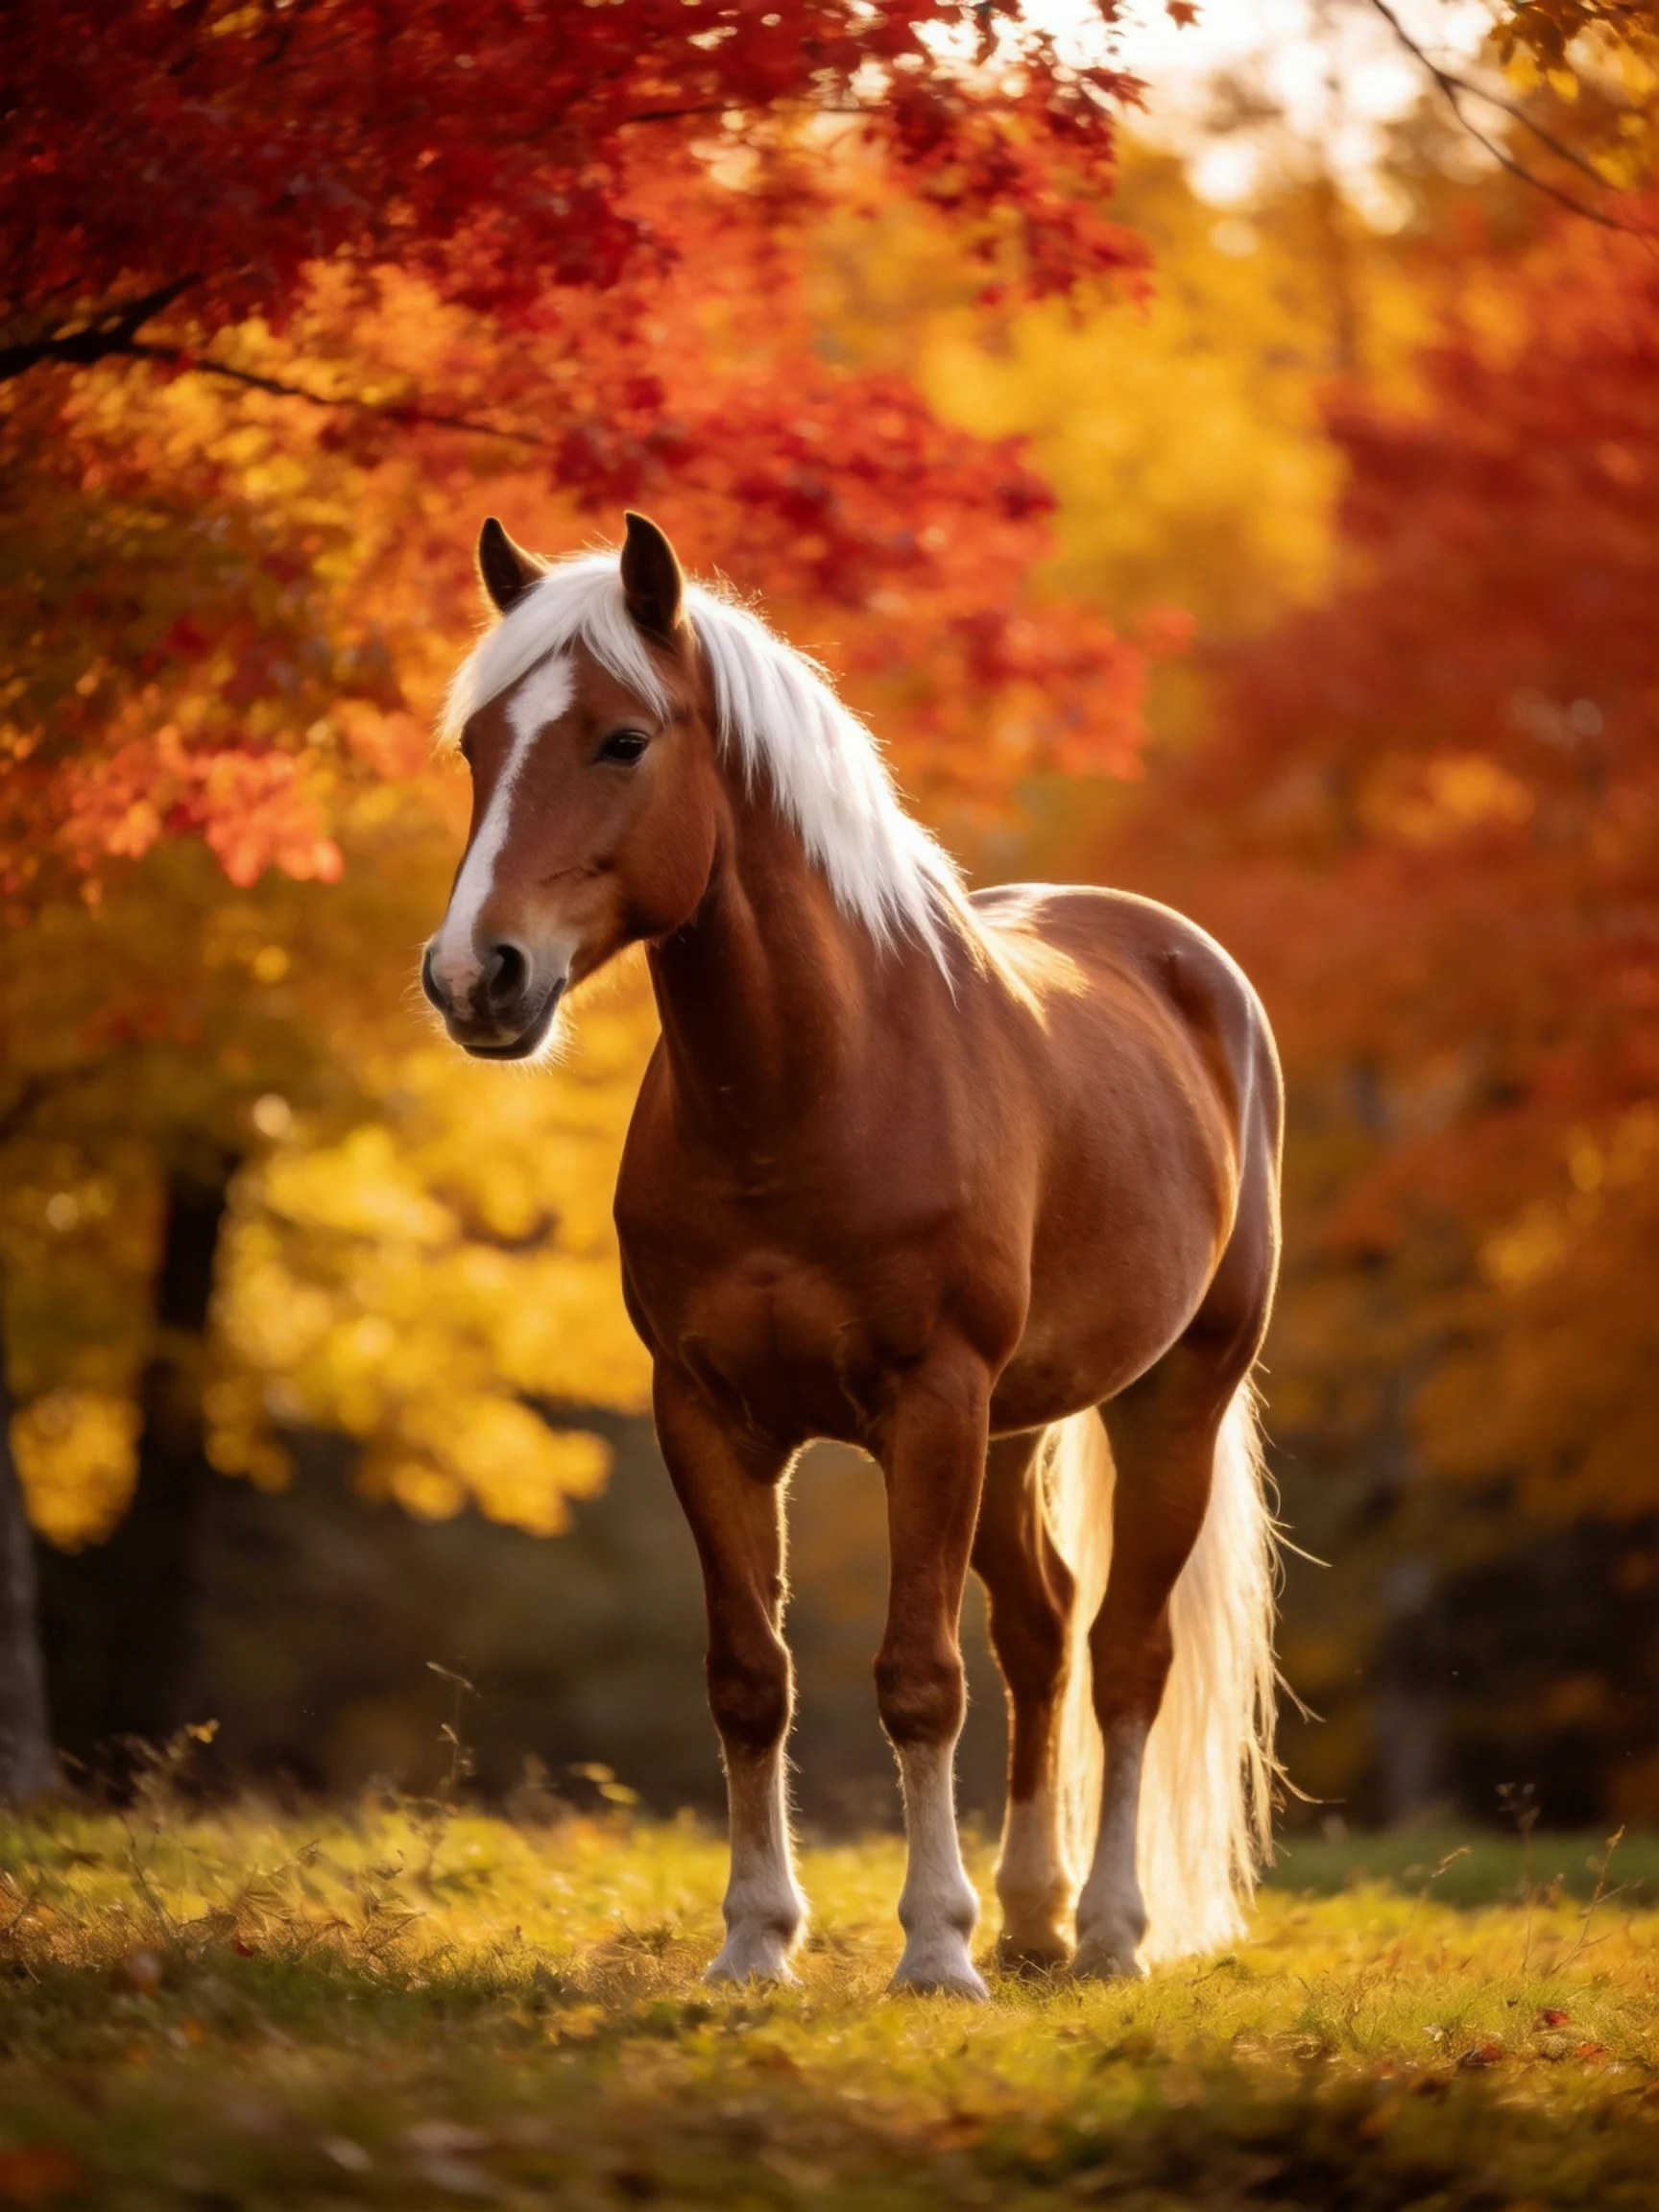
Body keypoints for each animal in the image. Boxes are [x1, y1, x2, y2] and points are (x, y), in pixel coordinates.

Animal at [423, 511, 1283, 1996]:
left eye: (621, 740)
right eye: (479, 745)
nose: (477, 977)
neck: (806, 1095)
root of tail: (1190, 962)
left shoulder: (929, 1405)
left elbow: (918, 1679)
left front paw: (934, 1950)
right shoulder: (708, 1415)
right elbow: (748, 1676)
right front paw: (756, 1941)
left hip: (1170, 1395)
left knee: (1125, 1652)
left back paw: (1111, 1932)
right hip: (1015, 1429)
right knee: (1043, 1632)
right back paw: (1038, 1915)